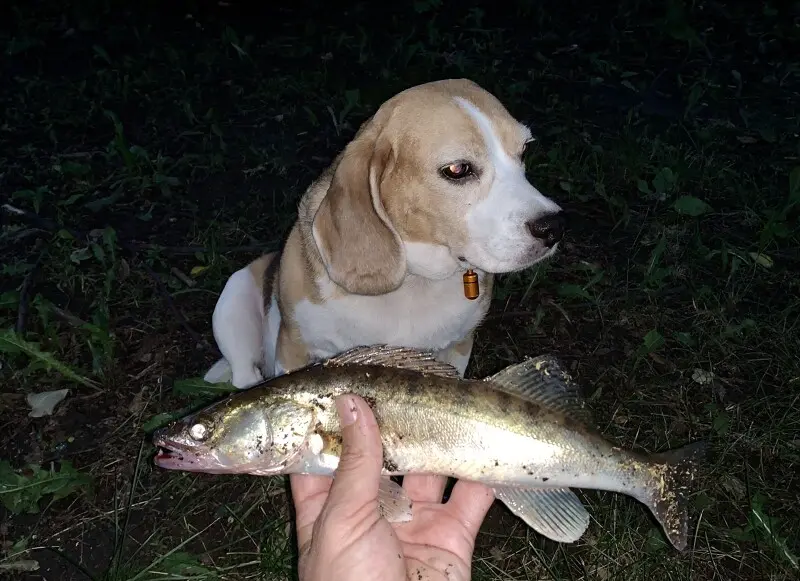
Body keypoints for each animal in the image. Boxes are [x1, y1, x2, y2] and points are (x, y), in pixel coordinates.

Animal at [203, 75, 564, 388]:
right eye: (458, 169)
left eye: (524, 151)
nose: (554, 226)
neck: (414, 281)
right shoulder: (293, 351)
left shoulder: (458, 347)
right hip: (234, 299)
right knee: (244, 377)